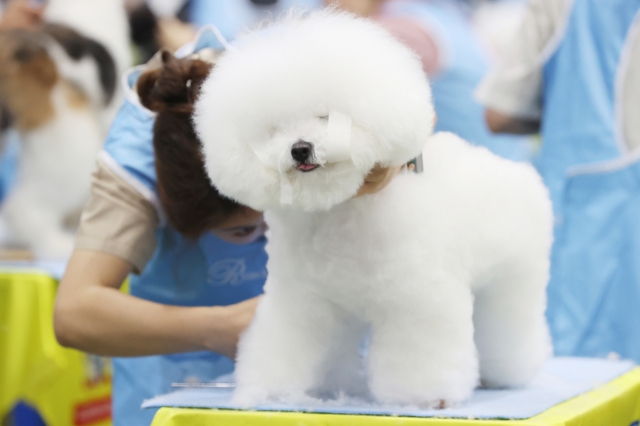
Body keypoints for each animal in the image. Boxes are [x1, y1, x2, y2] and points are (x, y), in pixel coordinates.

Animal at [195, 11, 556, 408]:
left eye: (325, 117)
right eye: (274, 129)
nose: (300, 148)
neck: (340, 215)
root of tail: (522, 175)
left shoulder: (415, 297)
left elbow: (420, 348)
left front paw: (423, 396)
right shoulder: (303, 301)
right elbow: (288, 341)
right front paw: (270, 390)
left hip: (514, 279)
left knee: (510, 327)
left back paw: (506, 374)